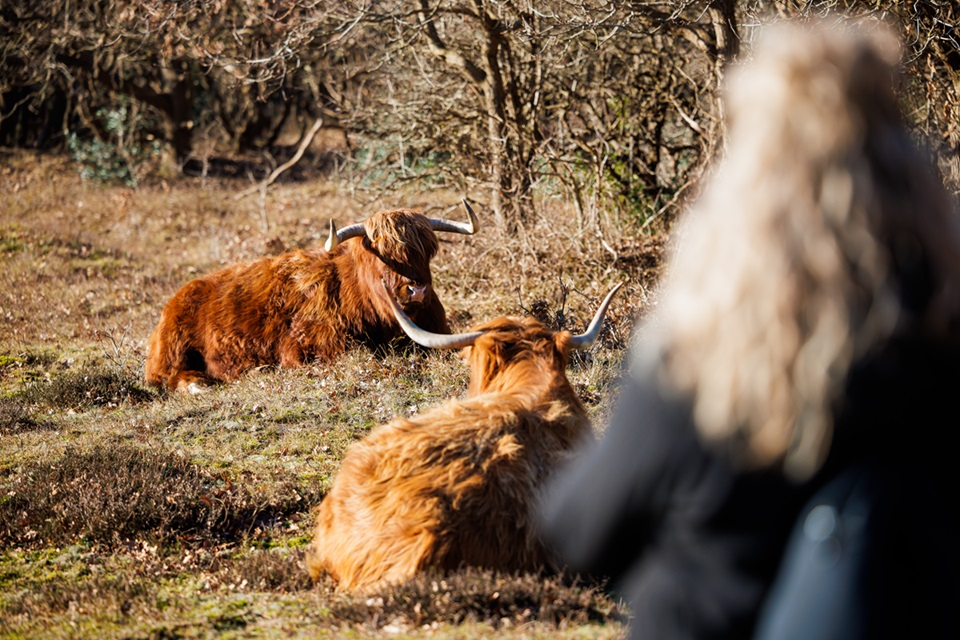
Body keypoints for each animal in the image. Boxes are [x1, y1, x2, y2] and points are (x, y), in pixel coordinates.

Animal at [143, 201, 480, 390]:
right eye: (383, 256)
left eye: (426, 251)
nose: (416, 289)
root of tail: (178, 295)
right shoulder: (308, 346)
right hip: (172, 351)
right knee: (167, 377)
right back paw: (202, 384)